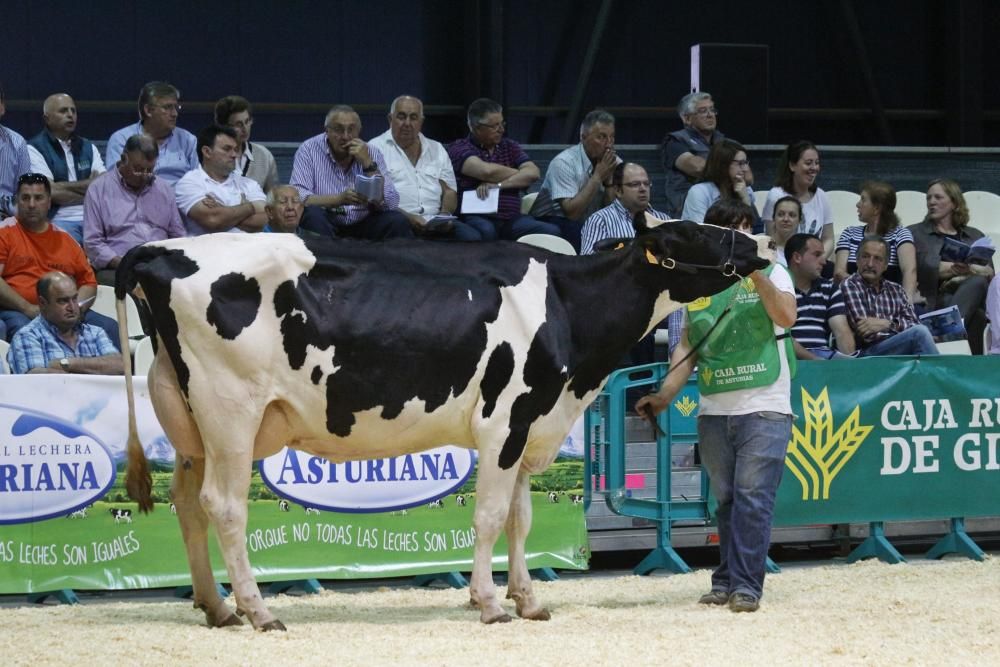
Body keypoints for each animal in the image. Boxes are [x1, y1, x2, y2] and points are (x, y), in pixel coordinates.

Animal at [117, 215, 768, 632]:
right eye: (702, 233)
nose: (761, 241)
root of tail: (162, 248)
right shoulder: (504, 420)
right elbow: (488, 517)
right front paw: (490, 603)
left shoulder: (530, 424)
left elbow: (521, 518)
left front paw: (528, 600)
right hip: (232, 411)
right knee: (223, 505)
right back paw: (258, 610)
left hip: (189, 418)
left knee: (186, 502)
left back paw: (217, 608)